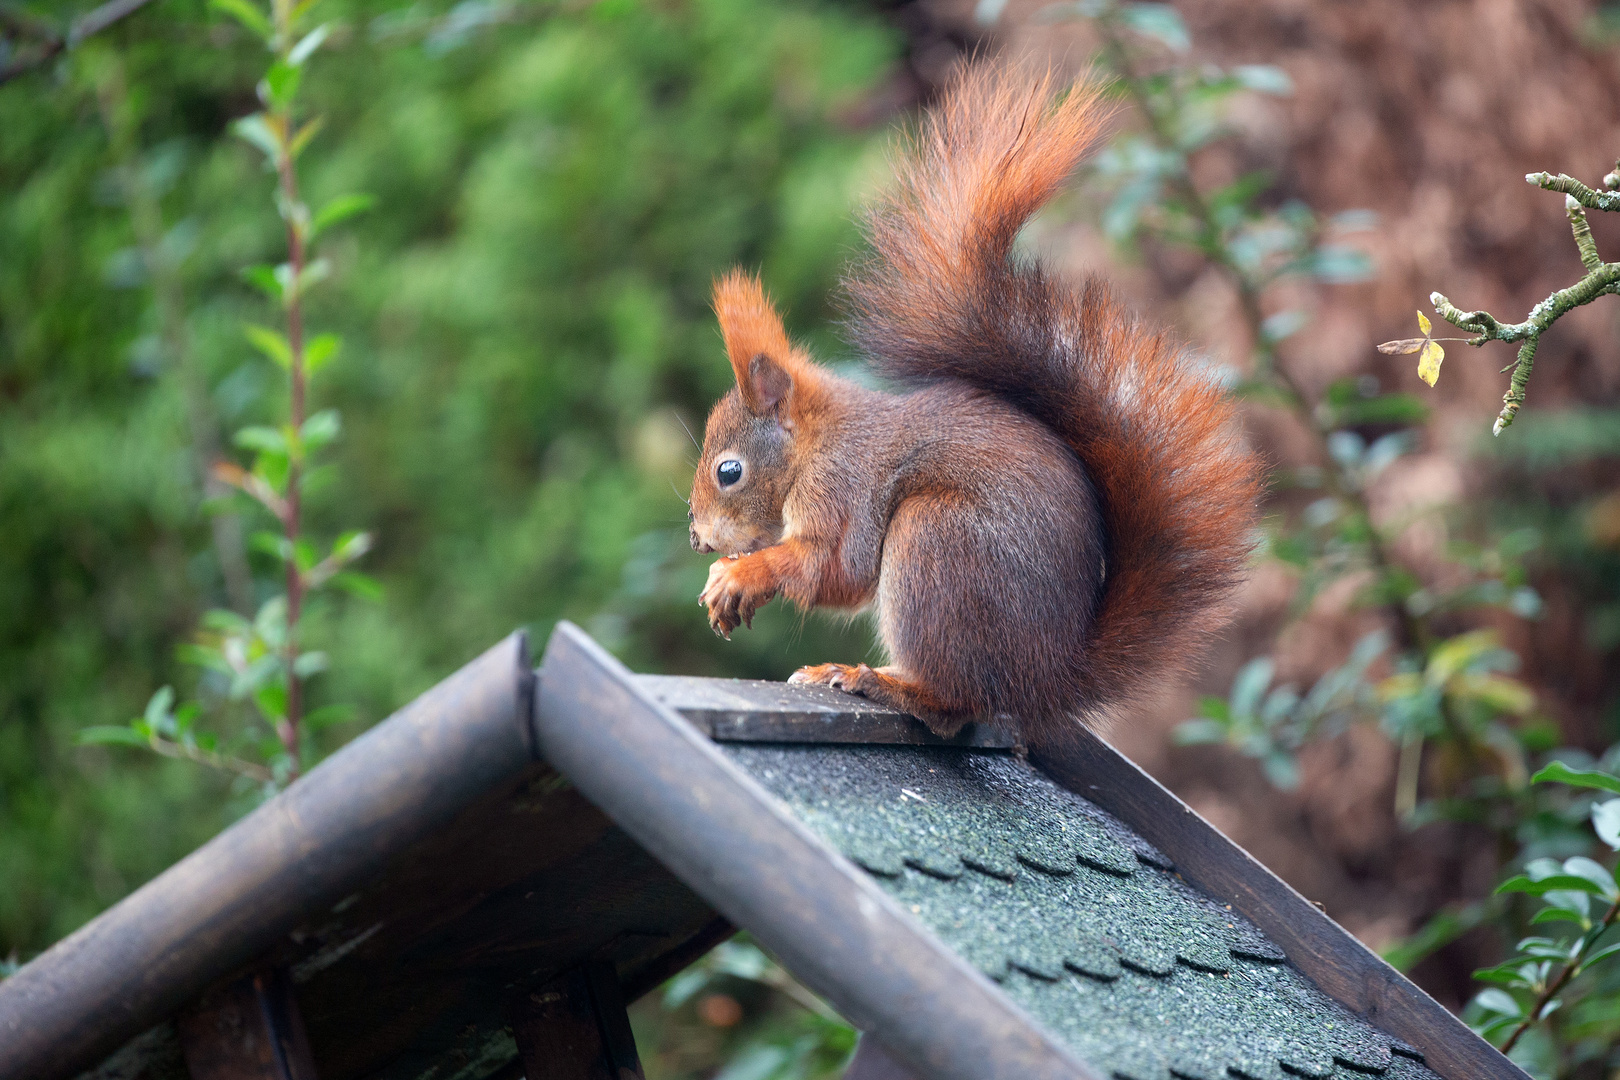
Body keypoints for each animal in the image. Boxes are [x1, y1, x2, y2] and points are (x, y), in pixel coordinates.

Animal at [690, 63, 1257, 744]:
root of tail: (1044, 679)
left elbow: (833, 568)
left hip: (936, 542)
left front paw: (739, 575)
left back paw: (873, 679)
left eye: (729, 471)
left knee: (954, 702)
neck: (815, 444)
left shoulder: (843, 489)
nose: (695, 535)